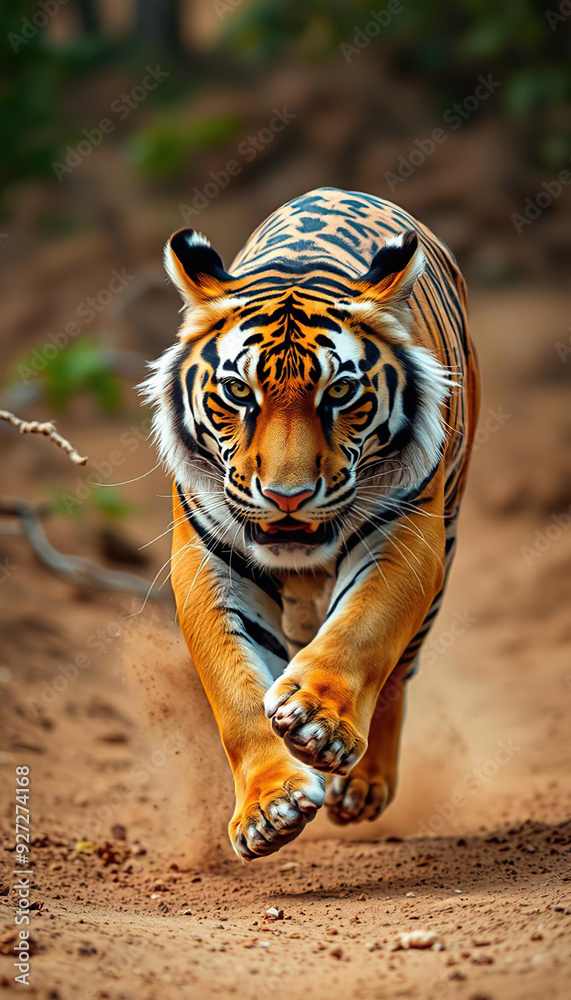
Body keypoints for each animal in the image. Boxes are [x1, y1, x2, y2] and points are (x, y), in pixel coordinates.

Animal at [143, 187, 480, 861]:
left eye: (341, 393)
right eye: (238, 392)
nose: (287, 496)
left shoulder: (406, 535)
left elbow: (362, 632)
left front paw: (317, 724)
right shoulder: (207, 557)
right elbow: (236, 684)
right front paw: (269, 807)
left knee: (399, 669)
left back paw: (362, 786)